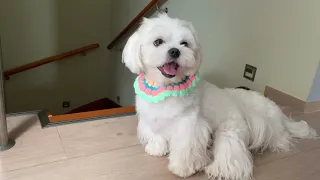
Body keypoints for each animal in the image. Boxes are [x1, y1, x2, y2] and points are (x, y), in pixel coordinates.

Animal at [121, 13, 316, 179]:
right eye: (158, 42)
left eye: (185, 43)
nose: (175, 51)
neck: (165, 89)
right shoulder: (152, 119)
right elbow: (156, 134)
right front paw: (156, 148)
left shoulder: (190, 125)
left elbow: (185, 148)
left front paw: (182, 168)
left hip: (230, 129)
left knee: (235, 156)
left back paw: (219, 168)